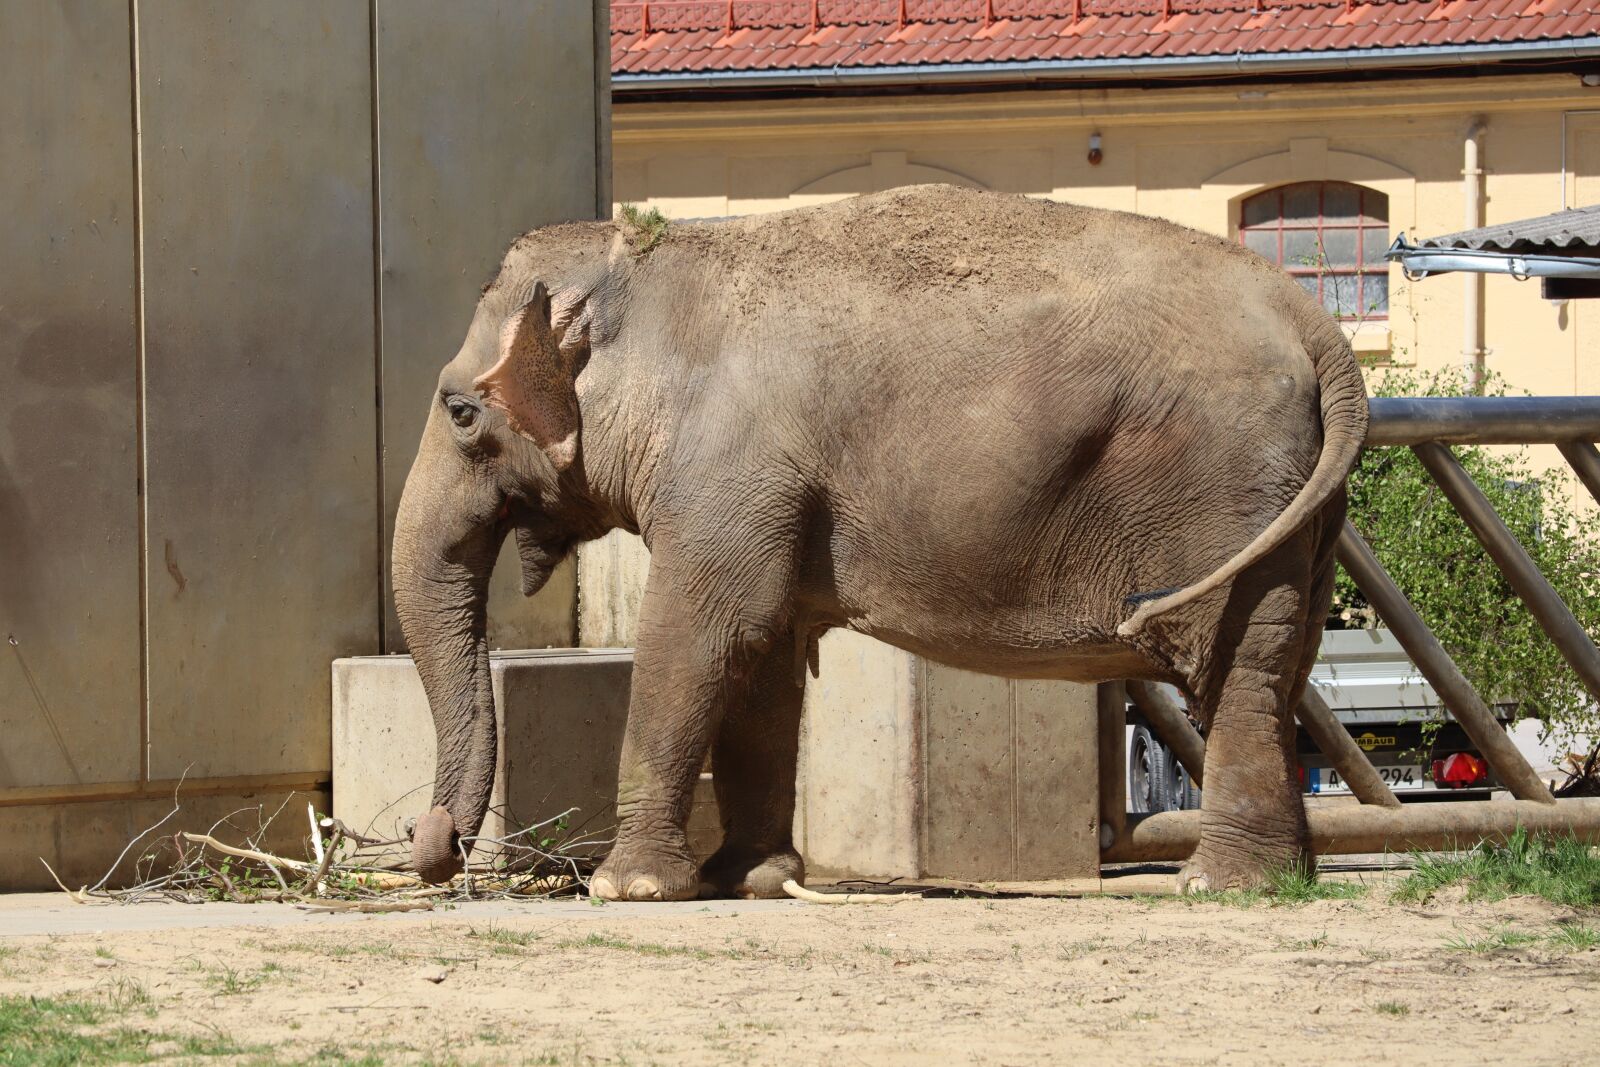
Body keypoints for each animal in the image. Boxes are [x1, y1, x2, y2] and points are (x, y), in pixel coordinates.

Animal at [393, 183, 1369, 902]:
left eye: (460, 411)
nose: (429, 843)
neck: (653, 266)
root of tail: (1318, 327)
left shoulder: (731, 466)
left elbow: (700, 636)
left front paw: (628, 889)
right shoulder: (761, 488)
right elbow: (765, 656)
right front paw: (748, 879)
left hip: (1223, 495)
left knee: (1237, 665)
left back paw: (1218, 884)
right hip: (1298, 514)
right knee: (1282, 663)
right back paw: (1280, 876)